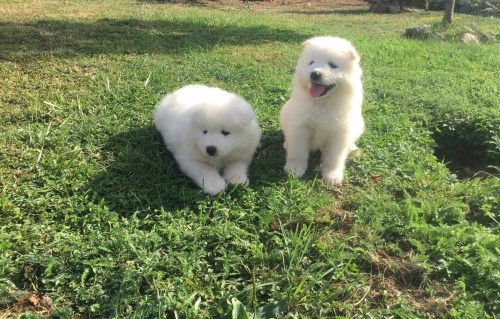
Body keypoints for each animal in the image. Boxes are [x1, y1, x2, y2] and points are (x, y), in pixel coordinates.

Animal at [280, 35, 366, 185]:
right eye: (311, 62)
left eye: (332, 65)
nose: (314, 74)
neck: (322, 103)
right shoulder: (300, 128)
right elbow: (298, 152)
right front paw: (294, 169)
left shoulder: (339, 133)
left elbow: (334, 157)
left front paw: (332, 175)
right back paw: (286, 144)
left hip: (358, 125)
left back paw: (353, 149)